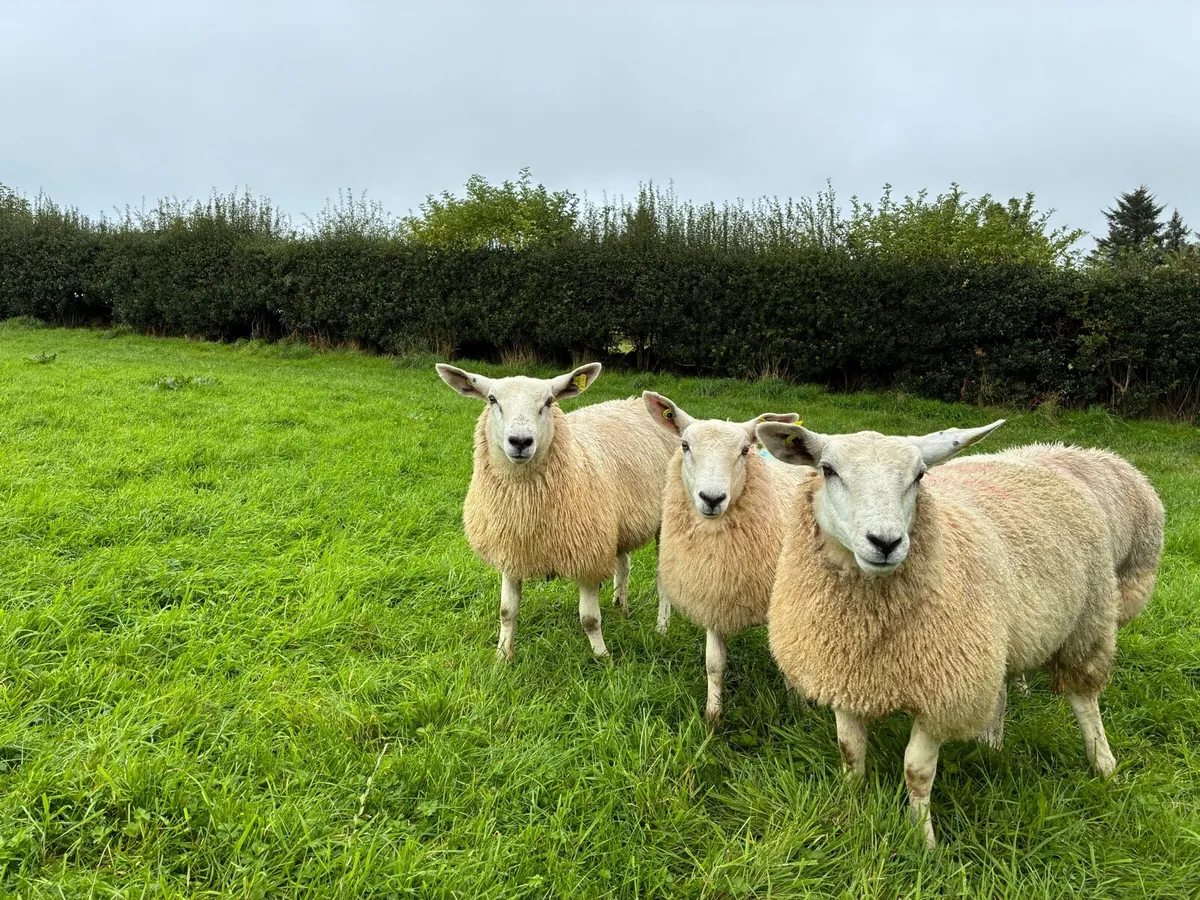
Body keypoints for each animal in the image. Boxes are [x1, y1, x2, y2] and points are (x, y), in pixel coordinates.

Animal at [436, 362, 677, 661]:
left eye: (549, 402)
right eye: (492, 400)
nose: (520, 441)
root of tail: (634, 402)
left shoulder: (588, 555)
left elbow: (589, 619)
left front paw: (603, 658)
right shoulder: (511, 550)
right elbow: (506, 612)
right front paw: (502, 657)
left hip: (664, 521)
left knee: (662, 580)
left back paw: (662, 627)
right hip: (618, 523)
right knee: (624, 564)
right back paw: (621, 608)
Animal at [642, 391, 806, 725]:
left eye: (744, 450)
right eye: (684, 445)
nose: (712, 498)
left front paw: (797, 708)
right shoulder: (716, 591)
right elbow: (714, 663)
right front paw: (713, 716)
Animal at [757, 419, 1163, 849]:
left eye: (919, 476)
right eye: (828, 470)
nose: (885, 542)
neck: (869, 627)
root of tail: (1050, 453)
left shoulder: (943, 693)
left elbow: (916, 772)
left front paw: (923, 842)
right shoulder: (842, 676)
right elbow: (850, 751)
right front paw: (851, 806)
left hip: (1087, 621)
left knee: (1084, 700)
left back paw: (1103, 763)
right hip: (998, 637)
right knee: (1001, 689)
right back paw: (991, 747)